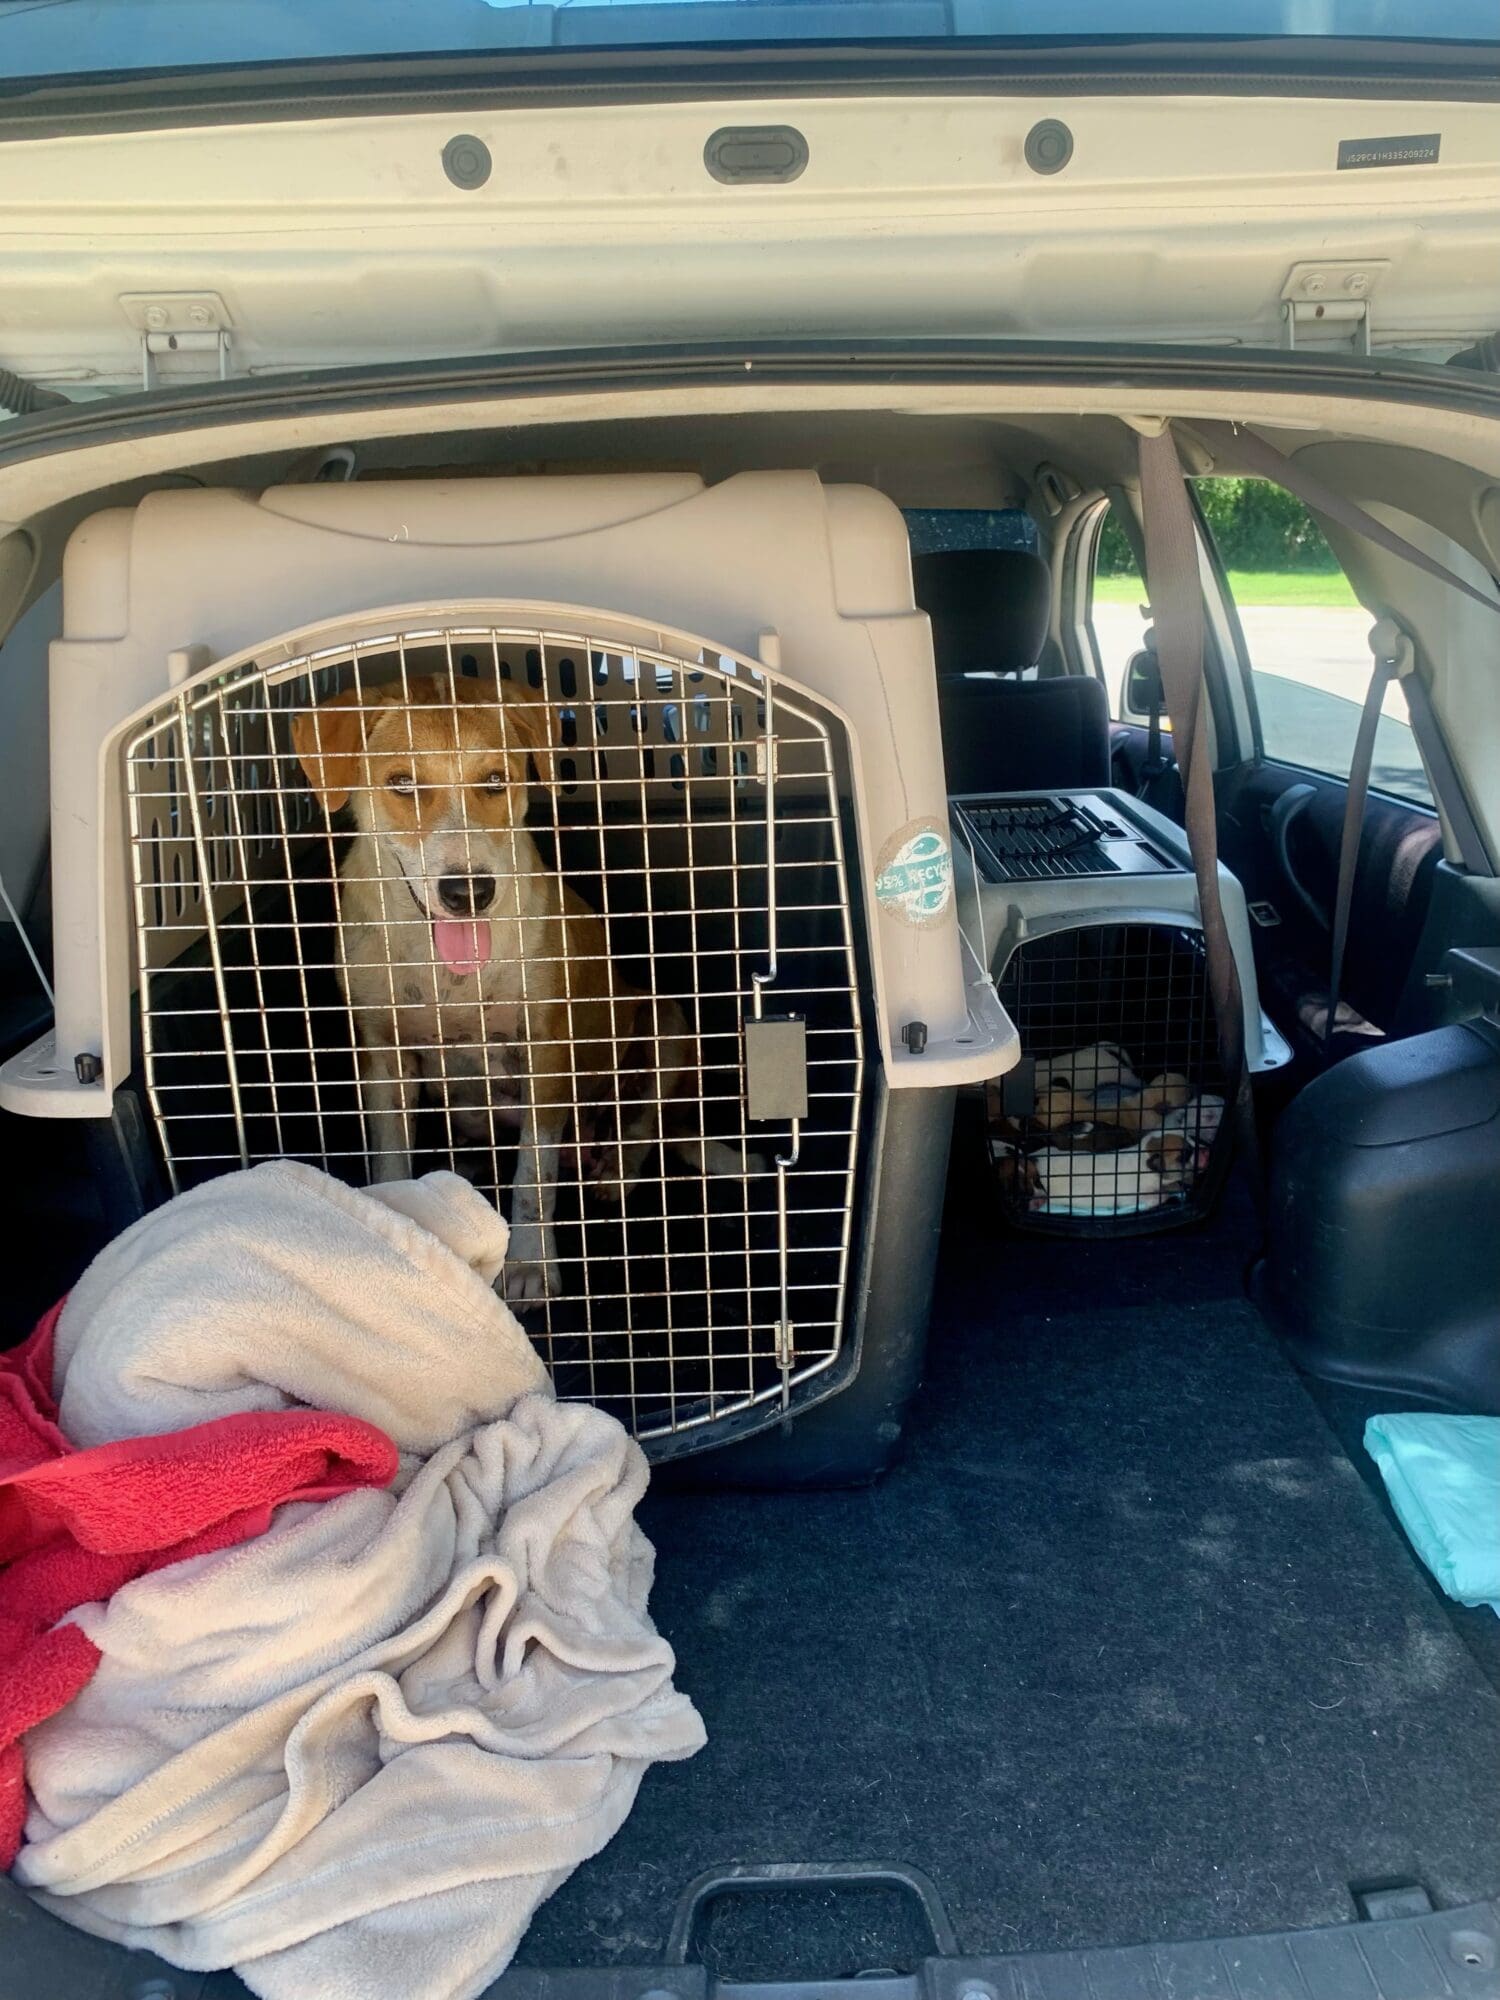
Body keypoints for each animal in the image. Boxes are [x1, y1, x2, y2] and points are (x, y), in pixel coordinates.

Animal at [296, 664, 756, 1304]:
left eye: (495, 780)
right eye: (401, 784)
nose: (468, 892)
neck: (449, 975)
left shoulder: (546, 1055)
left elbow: (532, 1178)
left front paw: (531, 1265)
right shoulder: (383, 1056)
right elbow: (389, 1159)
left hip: (665, 1027)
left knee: (642, 1126)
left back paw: (613, 1171)